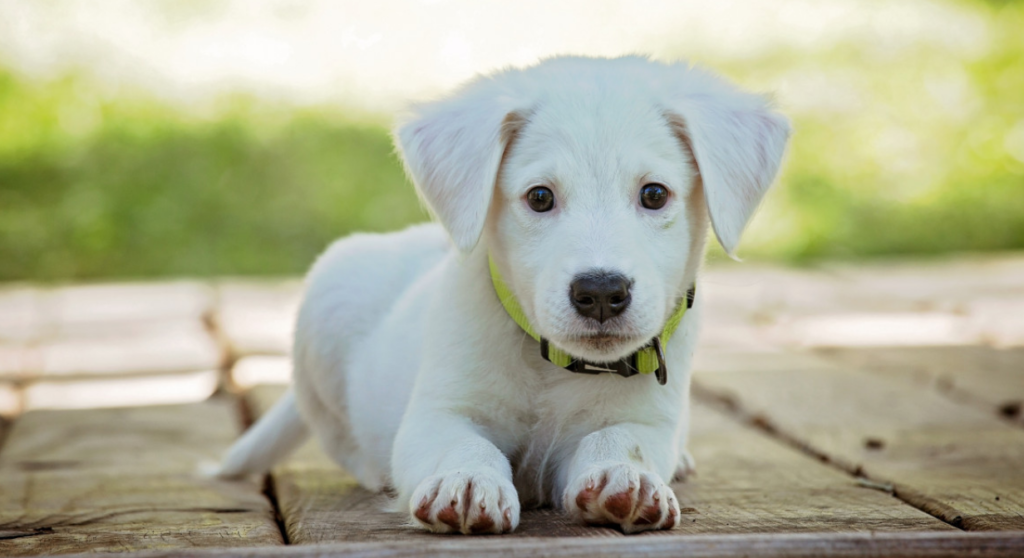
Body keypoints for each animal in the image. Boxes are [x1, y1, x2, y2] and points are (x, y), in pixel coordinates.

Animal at [220, 54, 786, 532]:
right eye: (539, 197)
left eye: (654, 194)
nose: (601, 292)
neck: (552, 366)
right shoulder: (438, 414)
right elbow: (466, 446)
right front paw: (468, 481)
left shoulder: (646, 420)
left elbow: (619, 439)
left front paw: (626, 478)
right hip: (327, 302)